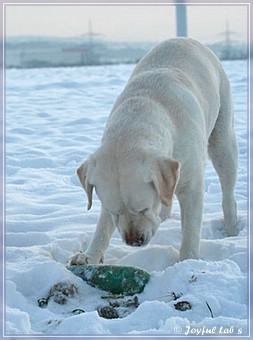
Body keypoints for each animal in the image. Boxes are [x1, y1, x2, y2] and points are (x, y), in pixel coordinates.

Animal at [70, 38, 238, 264]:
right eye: (116, 212)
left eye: (143, 208)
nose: (133, 241)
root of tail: (185, 39)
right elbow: (103, 228)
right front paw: (89, 256)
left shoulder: (192, 185)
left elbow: (191, 229)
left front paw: (187, 261)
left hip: (222, 138)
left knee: (228, 191)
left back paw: (232, 228)